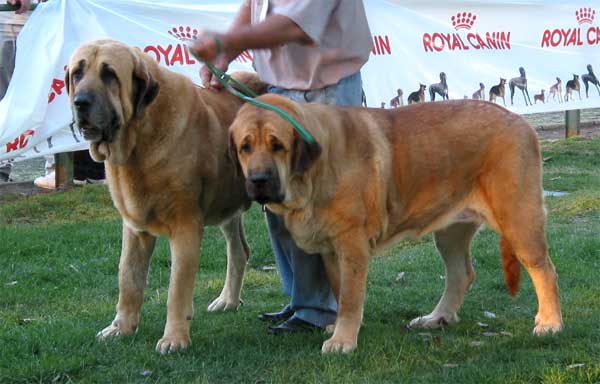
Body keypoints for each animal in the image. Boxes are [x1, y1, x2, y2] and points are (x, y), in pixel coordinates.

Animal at [64, 39, 266, 354]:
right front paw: (121, 328)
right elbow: (128, 278)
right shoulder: (135, 228)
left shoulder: (185, 228)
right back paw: (228, 301)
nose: (80, 102)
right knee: (239, 251)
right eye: (77, 73)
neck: (139, 141)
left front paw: (174, 338)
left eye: (109, 74)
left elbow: (176, 289)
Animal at [229, 94, 564, 352]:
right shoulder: (331, 252)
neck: (313, 174)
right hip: (450, 233)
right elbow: (341, 292)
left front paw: (343, 341)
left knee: (544, 270)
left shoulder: (352, 245)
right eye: (245, 147)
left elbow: (350, 298)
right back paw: (437, 317)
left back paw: (550, 323)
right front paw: (340, 331)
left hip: (519, 221)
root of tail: (520, 121)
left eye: (278, 145)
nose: (259, 179)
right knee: (461, 274)